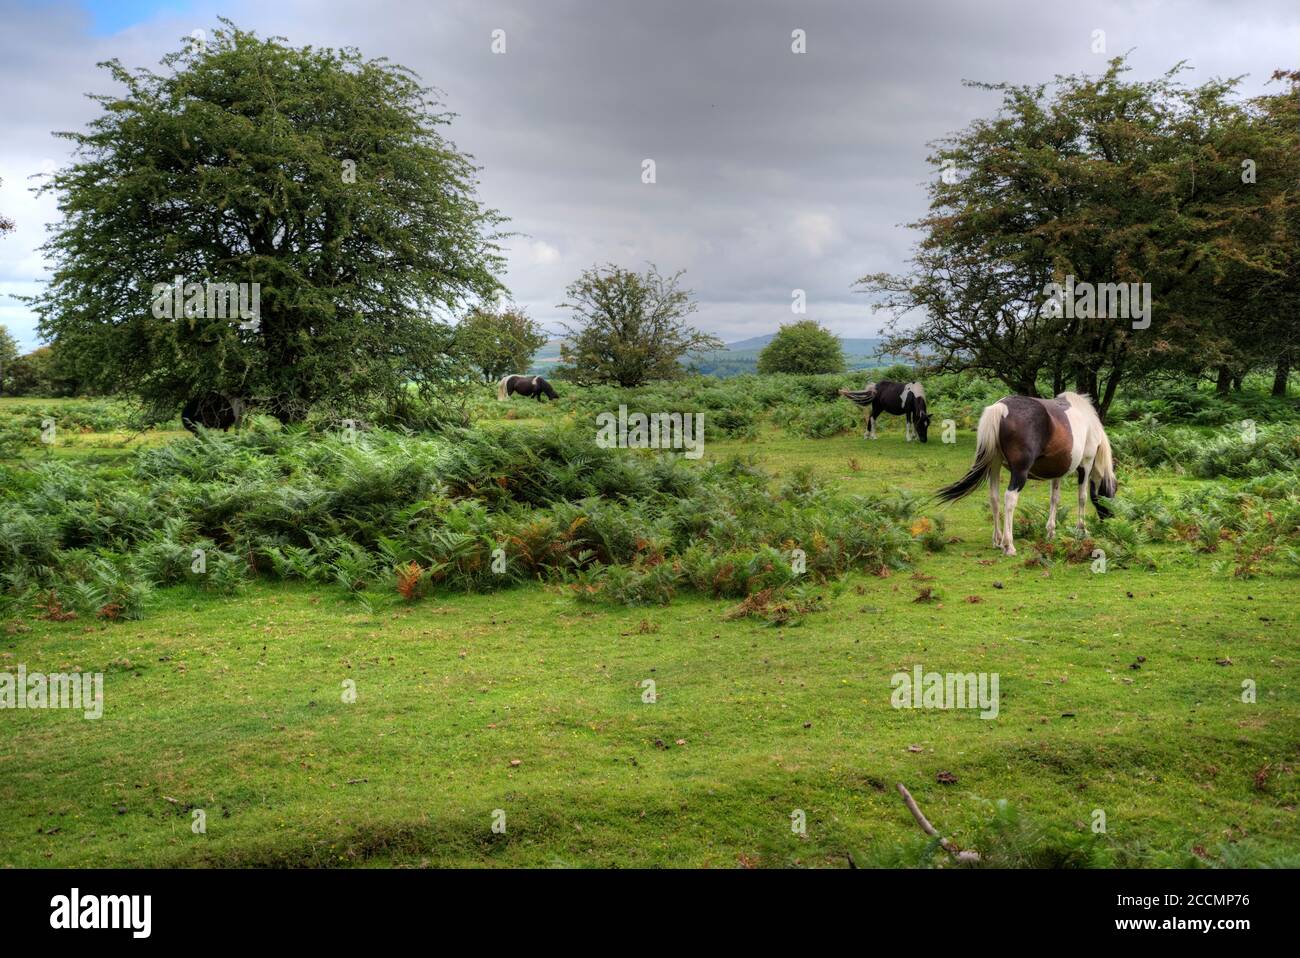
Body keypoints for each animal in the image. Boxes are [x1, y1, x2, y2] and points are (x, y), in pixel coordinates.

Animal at [935, 389, 1118, 553]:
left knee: (994, 498)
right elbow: (1082, 497)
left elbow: (1054, 498)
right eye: (1112, 493)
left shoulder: (1057, 471)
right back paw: (1008, 545)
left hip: (994, 465)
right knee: (1010, 499)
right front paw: (1082, 530)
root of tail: (1000, 407)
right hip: (1019, 472)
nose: (1111, 521)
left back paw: (997, 540)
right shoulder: (1086, 464)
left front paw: (1051, 531)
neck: (1089, 422)